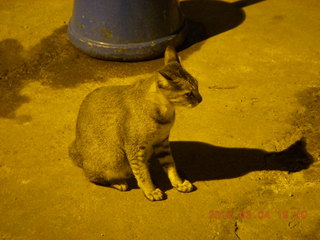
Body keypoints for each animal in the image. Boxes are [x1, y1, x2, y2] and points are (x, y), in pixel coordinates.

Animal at [69, 45, 202, 201]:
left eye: (197, 86)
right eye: (188, 94)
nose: (201, 99)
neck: (165, 111)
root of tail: (77, 152)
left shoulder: (162, 142)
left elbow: (170, 165)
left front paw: (178, 182)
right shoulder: (134, 147)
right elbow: (142, 173)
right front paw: (150, 190)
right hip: (115, 157)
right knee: (93, 177)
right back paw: (119, 182)